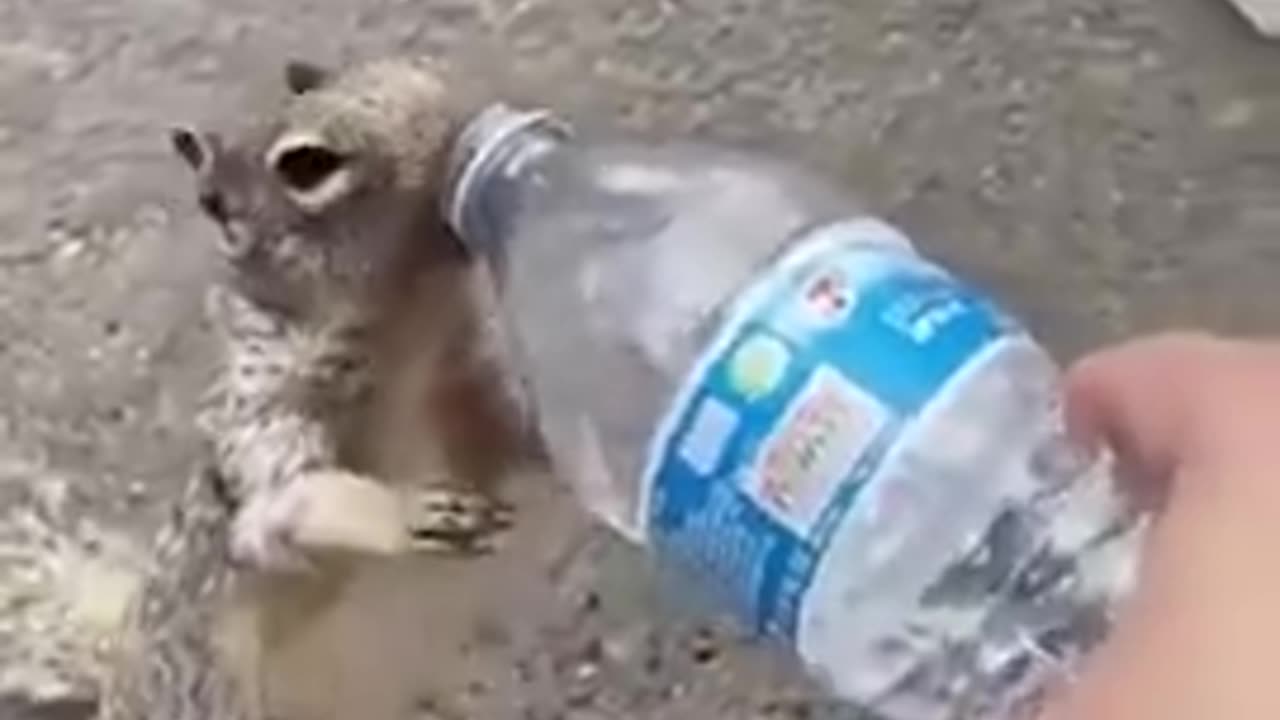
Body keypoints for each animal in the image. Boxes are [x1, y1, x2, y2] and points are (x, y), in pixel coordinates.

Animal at [97, 57, 532, 717]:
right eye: (307, 164)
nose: (460, 122)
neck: (409, 336)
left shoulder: (459, 384)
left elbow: (503, 437)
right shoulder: (263, 418)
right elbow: (295, 498)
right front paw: (410, 512)